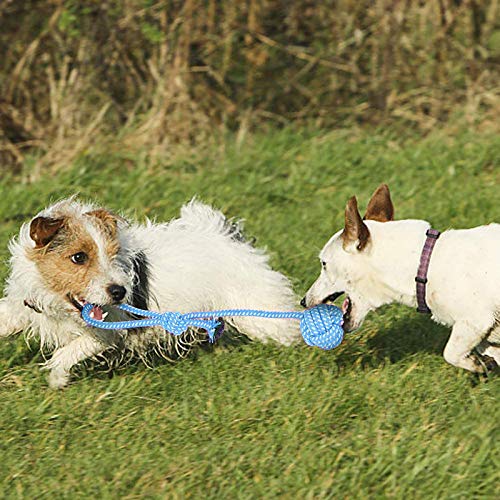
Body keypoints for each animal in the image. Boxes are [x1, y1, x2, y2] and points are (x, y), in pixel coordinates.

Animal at [0, 197, 300, 388]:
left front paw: (57, 378)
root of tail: (230, 236)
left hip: (259, 312)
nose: (119, 292)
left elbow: (68, 351)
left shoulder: (106, 333)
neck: (55, 299)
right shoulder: (23, 306)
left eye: (112, 254)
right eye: (78, 257)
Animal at [302, 184, 500, 372]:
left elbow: (450, 353)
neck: (425, 265)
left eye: (324, 264)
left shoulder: (474, 321)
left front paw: (477, 364)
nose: (303, 301)